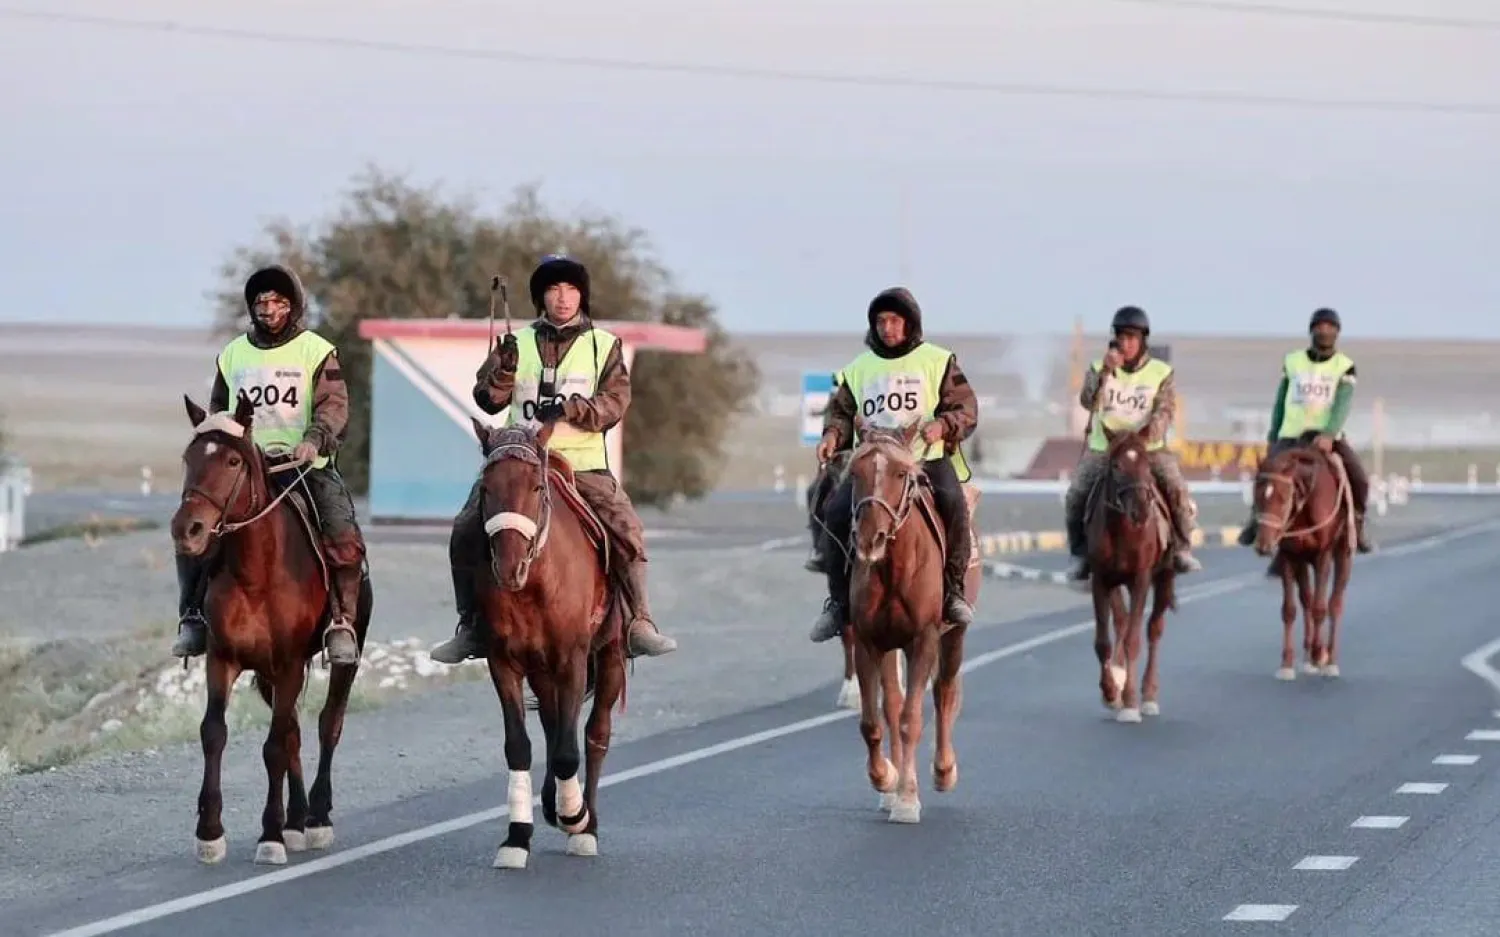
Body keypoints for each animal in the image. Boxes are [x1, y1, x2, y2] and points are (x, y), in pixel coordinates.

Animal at [167, 389, 369, 863]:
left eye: (232, 461)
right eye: (188, 458)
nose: (188, 530)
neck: (255, 573)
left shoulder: (290, 663)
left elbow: (275, 745)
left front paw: (271, 836)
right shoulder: (223, 659)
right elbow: (214, 733)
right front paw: (210, 832)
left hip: (341, 661)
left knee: (328, 725)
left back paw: (316, 818)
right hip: (269, 676)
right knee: (294, 730)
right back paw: (297, 820)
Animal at [471, 419, 630, 869]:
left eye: (536, 487)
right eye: (485, 488)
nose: (508, 566)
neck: (534, 582)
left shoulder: (572, 659)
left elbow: (567, 750)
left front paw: (576, 817)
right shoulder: (503, 662)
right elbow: (520, 745)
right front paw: (517, 836)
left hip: (609, 657)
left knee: (594, 733)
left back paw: (584, 823)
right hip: (540, 669)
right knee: (553, 722)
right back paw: (550, 802)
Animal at [840, 419, 978, 821]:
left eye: (901, 473)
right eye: (855, 473)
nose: (870, 539)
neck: (894, 569)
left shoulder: (924, 639)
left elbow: (911, 718)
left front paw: (907, 799)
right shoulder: (869, 642)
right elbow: (874, 721)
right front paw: (886, 779)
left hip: (953, 636)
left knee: (944, 693)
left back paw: (943, 771)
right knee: (893, 704)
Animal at [1086, 422, 1176, 722]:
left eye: (1147, 464)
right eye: (1116, 465)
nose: (1140, 511)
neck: (1123, 532)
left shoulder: (1141, 578)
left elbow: (1134, 639)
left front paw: (1130, 703)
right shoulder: (1101, 579)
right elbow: (1104, 640)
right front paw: (1110, 692)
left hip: (1164, 578)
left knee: (1154, 629)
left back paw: (1148, 696)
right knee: (1122, 622)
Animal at [1248, 434, 1356, 683]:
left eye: (1282, 497)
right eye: (1257, 495)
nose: (1263, 545)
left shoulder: (1323, 554)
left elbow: (1320, 607)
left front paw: (1319, 654)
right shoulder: (1289, 556)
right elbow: (1289, 609)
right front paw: (1287, 664)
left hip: (1342, 554)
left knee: (1334, 602)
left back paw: (1328, 659)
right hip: (1303, 561)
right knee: (1306, 598)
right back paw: (1309, 657)